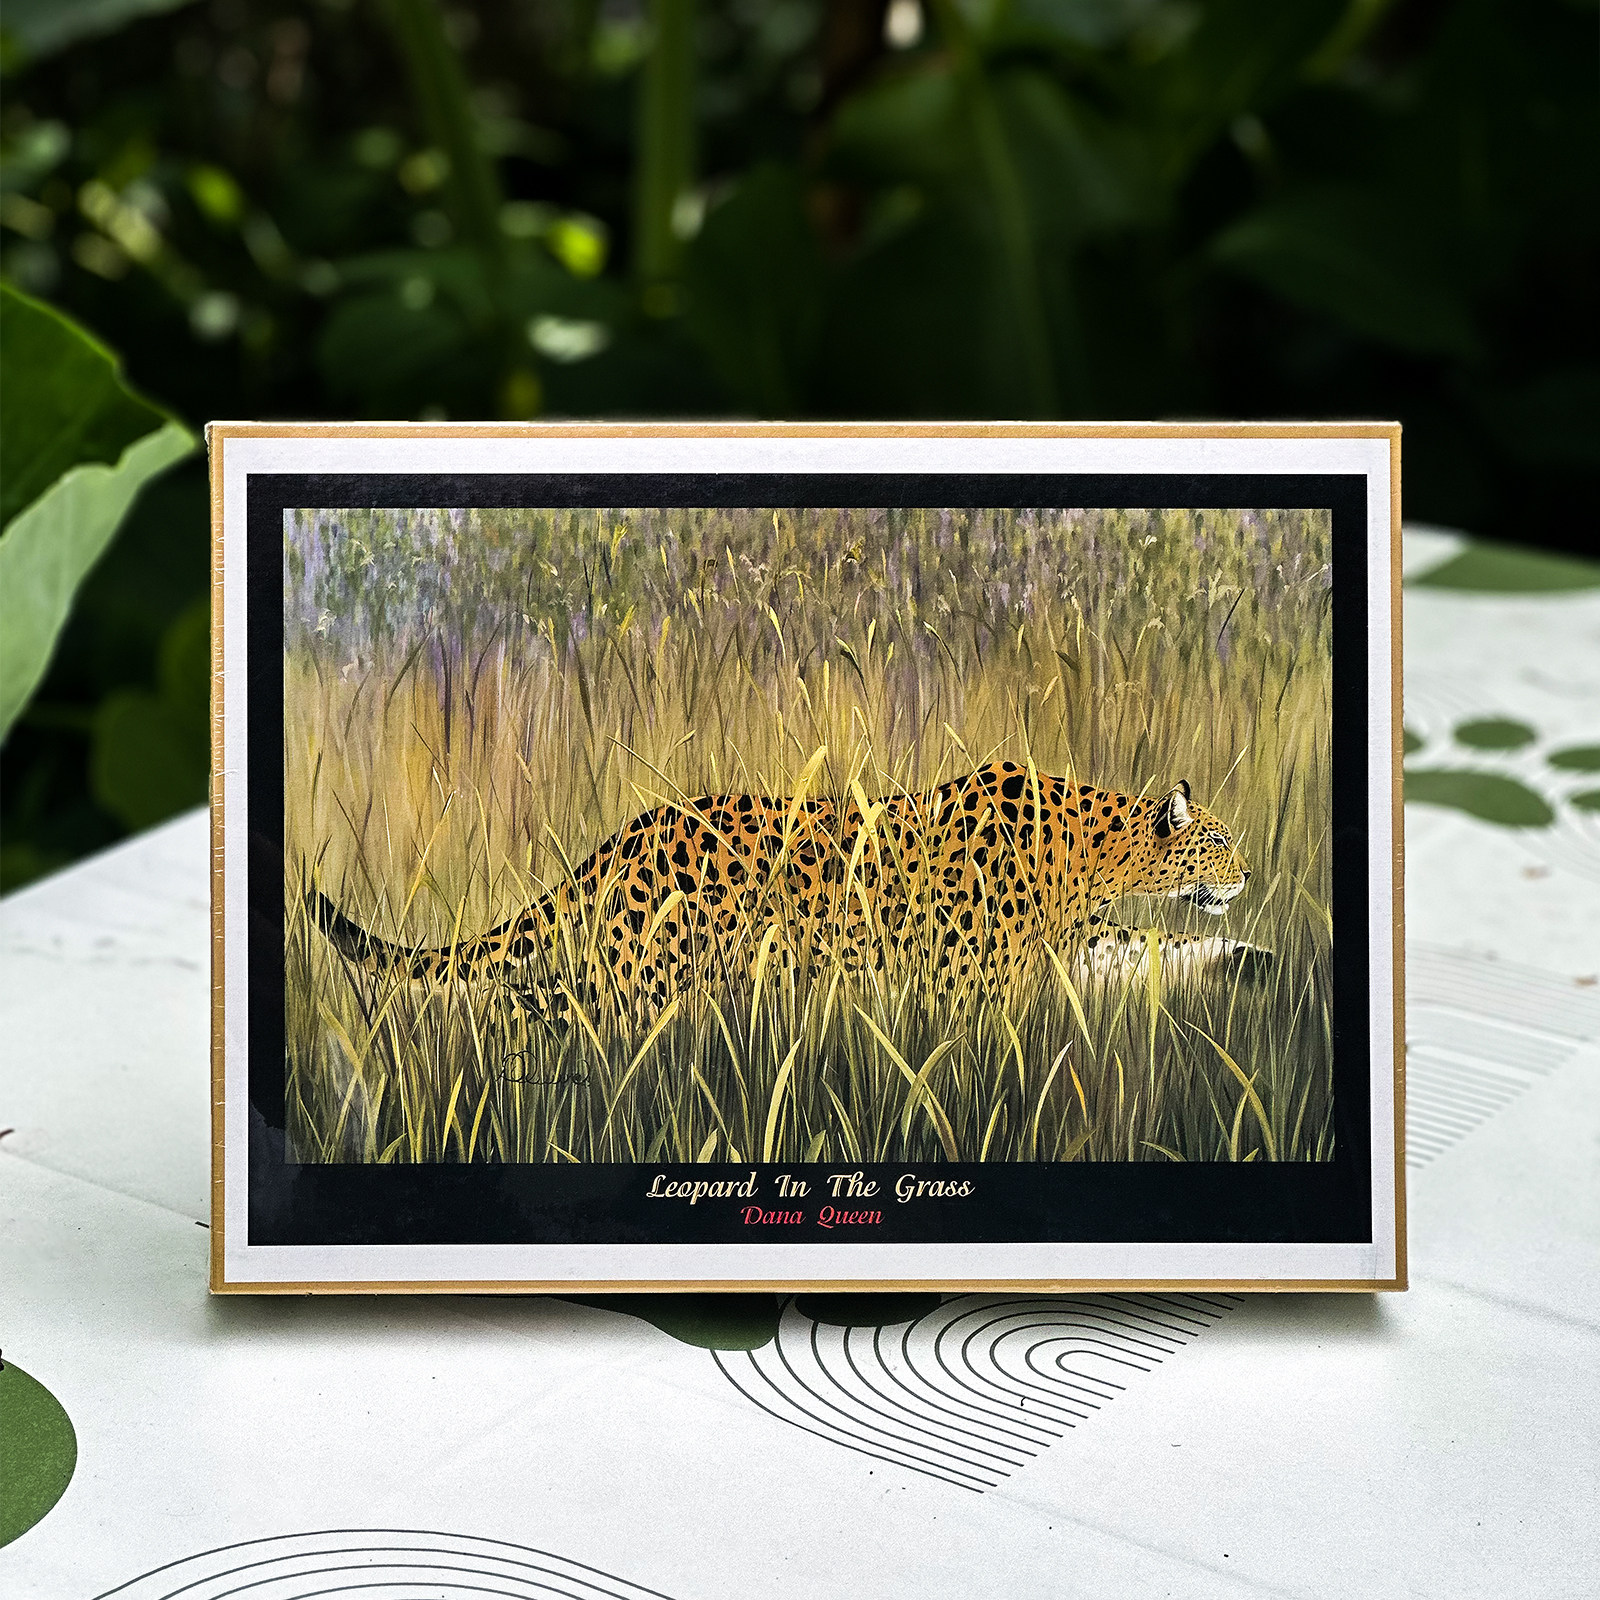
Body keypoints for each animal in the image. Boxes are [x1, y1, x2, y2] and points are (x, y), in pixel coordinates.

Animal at [310, 761, 1269, 1023]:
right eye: (1219, 841)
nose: (1250, 874)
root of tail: (622, 836)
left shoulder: (1080, 944)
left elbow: (1159, 948)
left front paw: (1251, 960)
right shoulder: (976, 972)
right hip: (646, 974)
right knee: (552, 1007)